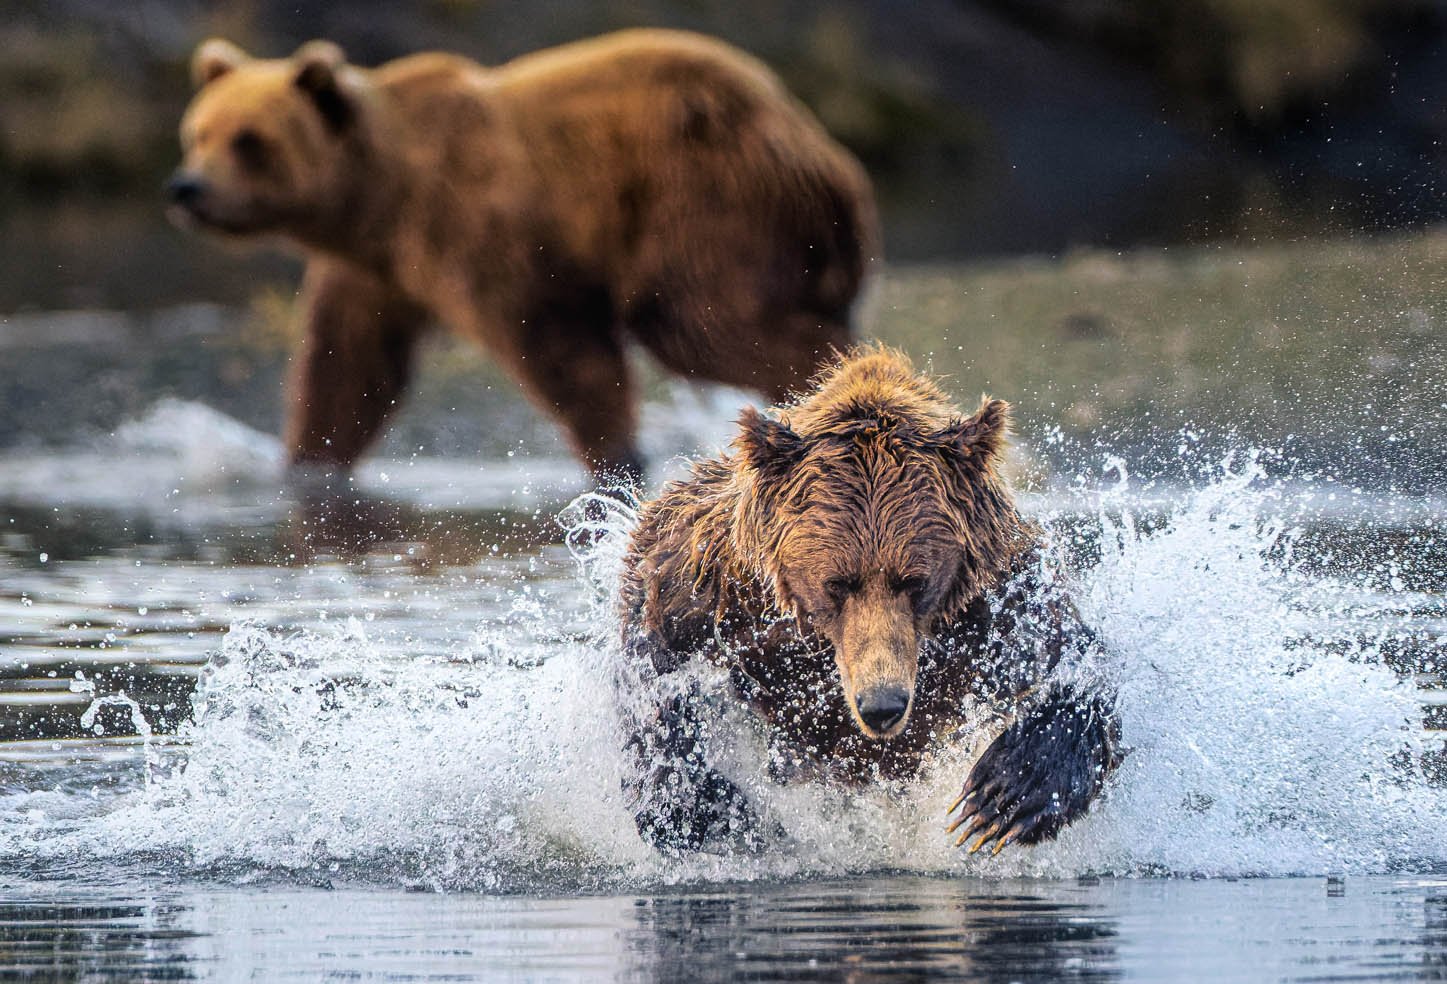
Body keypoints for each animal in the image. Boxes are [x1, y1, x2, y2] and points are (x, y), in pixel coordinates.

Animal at [166, 30, 879, 486]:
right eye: (198, 132)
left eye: (249, 141)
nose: (187, 188)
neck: (385, 198)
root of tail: (823, 150)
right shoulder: (373, 273)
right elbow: (346, 368)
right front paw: (308, 461)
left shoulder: (489, 232)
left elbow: (559, 348)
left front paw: (616, 457)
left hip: (704, 203)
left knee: (707, 325)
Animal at [616, 346, 1119, 855]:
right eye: (838, 583)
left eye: (914, 582)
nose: (882, 705)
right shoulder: (710, 584)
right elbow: (651, 670)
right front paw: (704, 807)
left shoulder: (1002, 604)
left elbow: (1079, 666)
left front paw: (1002, 796)